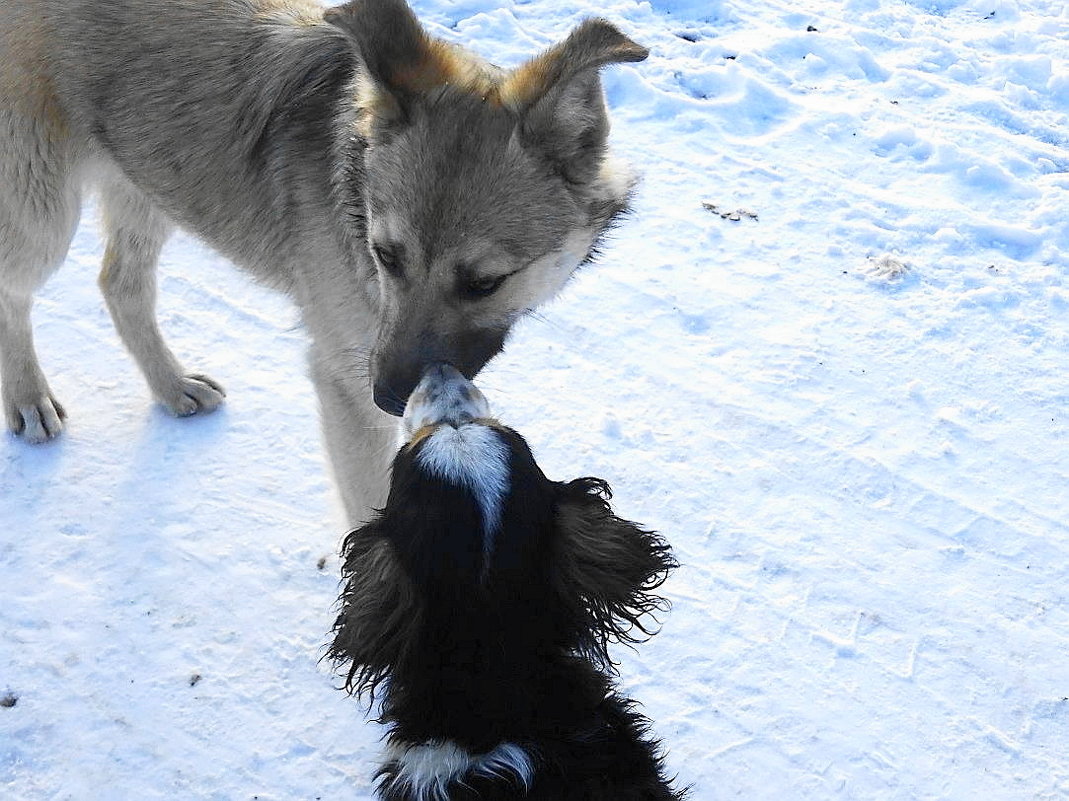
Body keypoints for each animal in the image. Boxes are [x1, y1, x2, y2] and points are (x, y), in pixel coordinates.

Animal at [0, 0, 645, 521]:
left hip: (147, 176)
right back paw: (29, 399)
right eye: (386, 255)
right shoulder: (345, 383)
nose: (388, 399)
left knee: (120, 282)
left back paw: (170, 385)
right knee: (16, 290)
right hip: (43, 209)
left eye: (485, 283)